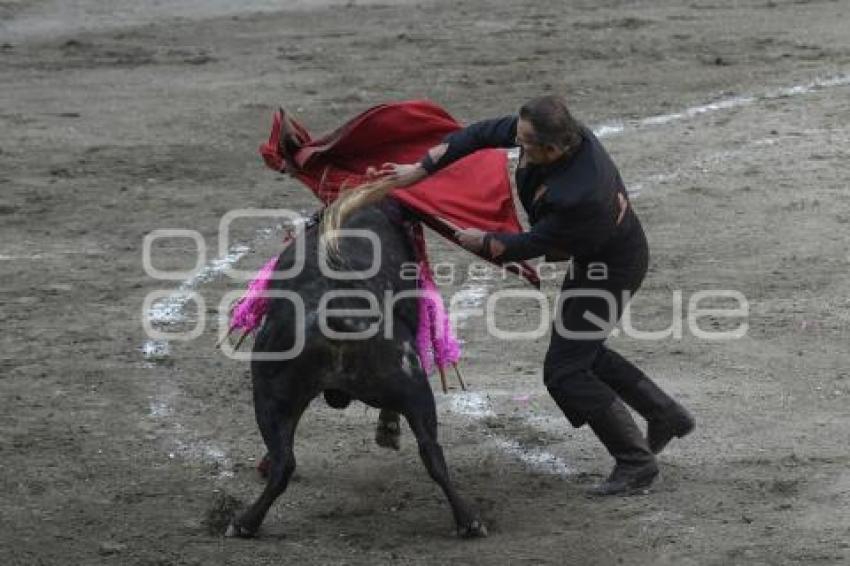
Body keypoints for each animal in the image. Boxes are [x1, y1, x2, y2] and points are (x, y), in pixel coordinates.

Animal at [225, 205, 486, 540]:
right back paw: (468, 520)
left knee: (285, 462)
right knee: (431, 452)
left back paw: (245, 521)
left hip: (269, 390)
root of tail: (335, 315)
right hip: (409, 385)